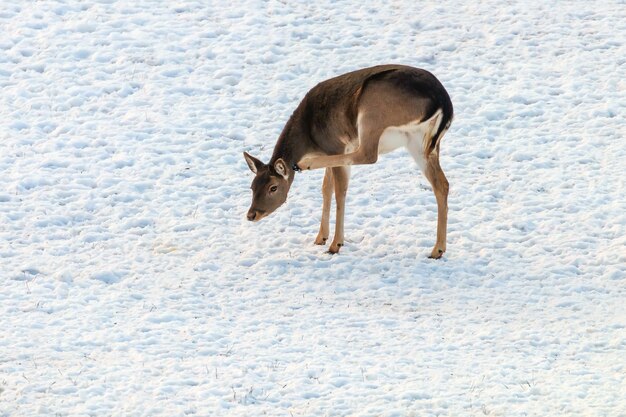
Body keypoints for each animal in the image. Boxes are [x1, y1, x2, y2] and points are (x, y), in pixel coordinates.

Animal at [241, 64, 450, 256]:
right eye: (251, 186)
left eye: (273, 187)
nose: (251, 214)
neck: (309, 138)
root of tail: (444, 103)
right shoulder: (329, 153)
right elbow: (326, 188)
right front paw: (320, 238)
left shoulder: (336, 146)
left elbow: (339, 191)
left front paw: (335, 244)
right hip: (421, 144)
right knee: (442, 184)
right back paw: (437, 250)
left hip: (371, 112)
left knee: (368, 154)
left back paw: (304, 165)